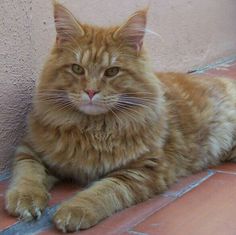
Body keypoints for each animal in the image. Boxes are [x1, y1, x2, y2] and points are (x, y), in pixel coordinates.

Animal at [5, 0, 236, 233]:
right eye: (77, 69)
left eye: (112, 71)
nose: (90, 91)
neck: (92, 128)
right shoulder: (31, 149)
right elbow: (28, 173)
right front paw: (25, 199)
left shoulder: (142, 170)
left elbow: (103, 191)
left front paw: (75, 210)